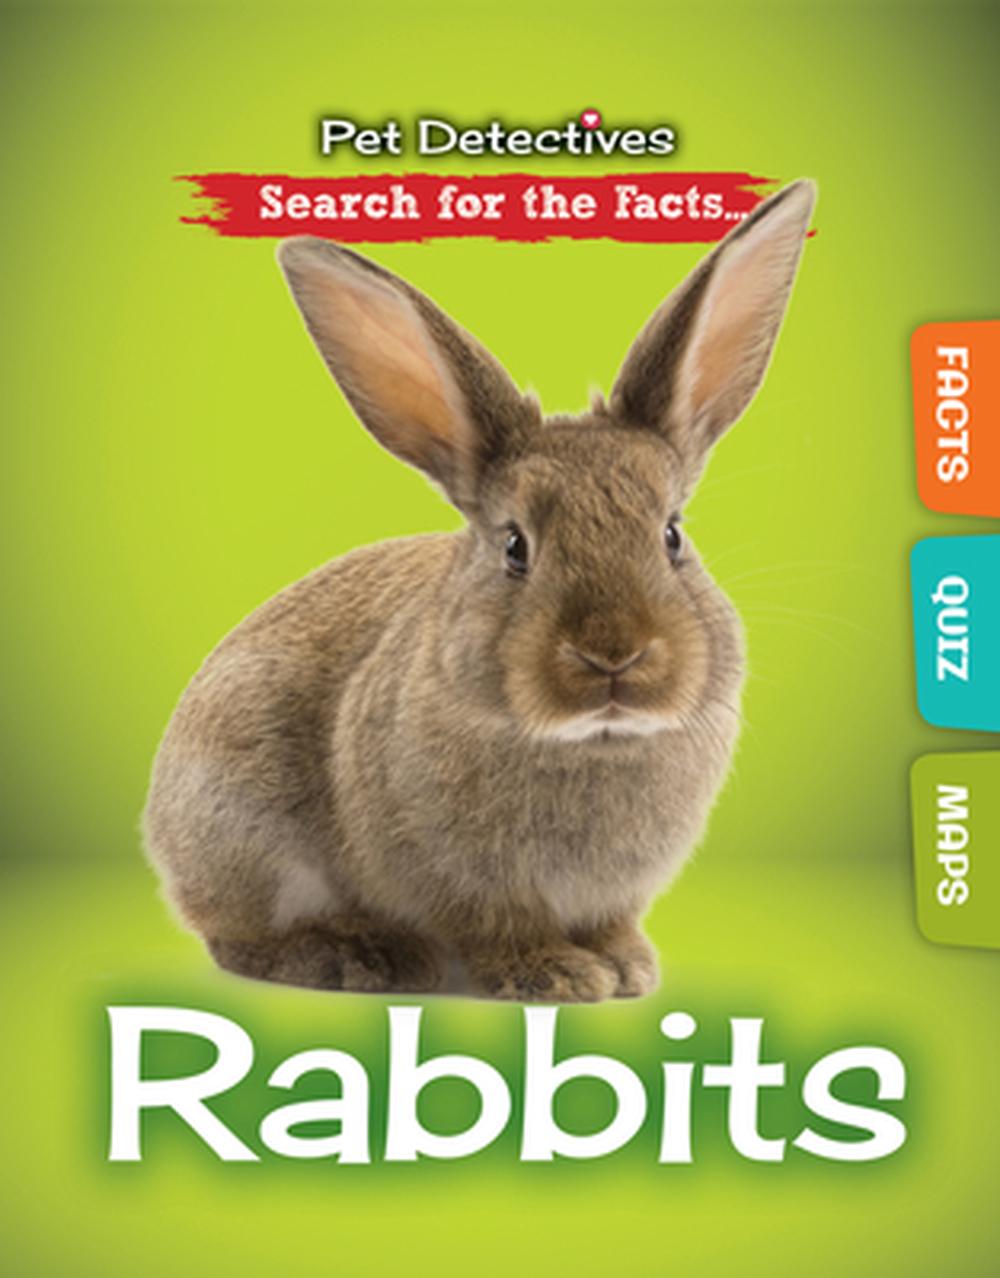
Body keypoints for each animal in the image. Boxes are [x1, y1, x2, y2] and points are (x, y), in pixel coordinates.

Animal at [144, 179, 815, 1002]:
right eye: (515, 547)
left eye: (672, 536)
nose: (613, 654)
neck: (591, 740)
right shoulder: (464, 881)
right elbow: (499, 928)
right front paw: (558, 976)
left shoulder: (615, 890)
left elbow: (610, 922)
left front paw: (626, 967)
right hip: (243, 826)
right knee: (238, 938)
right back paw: (357, 957)